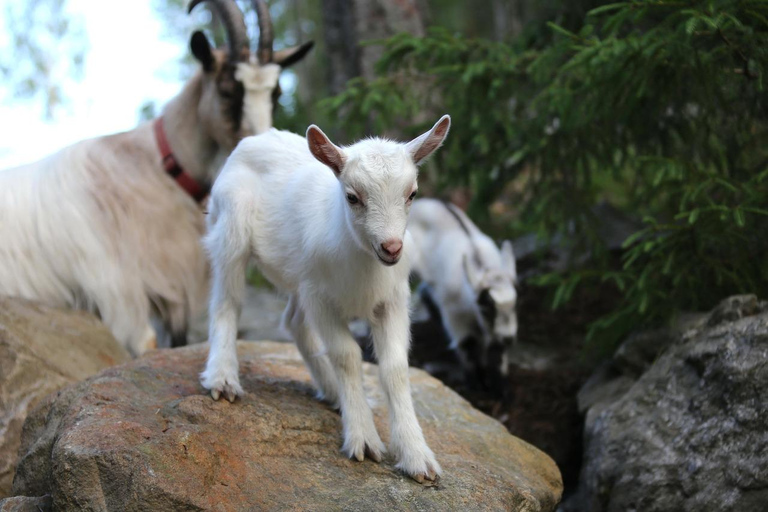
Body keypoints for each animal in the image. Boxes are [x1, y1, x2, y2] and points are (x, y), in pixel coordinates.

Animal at [0, 0, 314, 356]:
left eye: (276, 93)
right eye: (226, 90)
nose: (261, 142)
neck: (158, 172)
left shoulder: (170, 295)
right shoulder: (120, 296)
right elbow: (146, 345)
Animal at [408, 198, 516, 382]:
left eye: (516, 303)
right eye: (486, 306)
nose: (508, 338)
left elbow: (497, 352)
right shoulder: (456, 316)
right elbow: (469, 346)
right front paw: (477, 382)